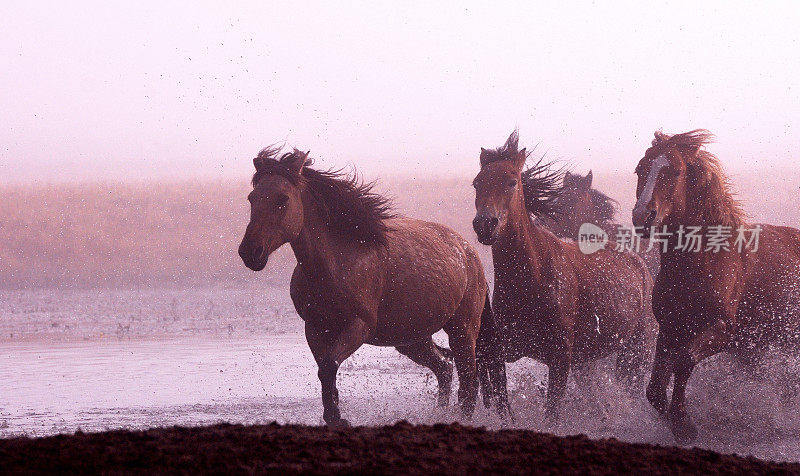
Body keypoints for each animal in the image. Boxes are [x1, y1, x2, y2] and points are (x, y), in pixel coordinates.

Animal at [239, 146, 512, 428]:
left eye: (282, 199)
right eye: (252, 198)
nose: (250, 252)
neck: (334, 264)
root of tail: (470, 254)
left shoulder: (359, 325)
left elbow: (328, 366)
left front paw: (339, 419)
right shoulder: (315, 328)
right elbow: (325, 370)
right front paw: (334, 416)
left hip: (462, 330)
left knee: (468, 384)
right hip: (411, 339)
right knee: (445, 370)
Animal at [472, 130, 652, 420]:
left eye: (512, 182)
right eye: (477, 183)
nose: (485, 225)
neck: (530, 278)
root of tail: (641, 266)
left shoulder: (560, 359)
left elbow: (552, 414)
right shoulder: (502, 352)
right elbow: (500, 400)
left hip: (636, 351)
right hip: (587, 361)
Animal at [632, 129, 800, 442]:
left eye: (674, 171)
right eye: (640, 169)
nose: (642, 217)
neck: (706, 260)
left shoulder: (722, 331)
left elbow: (683, 362)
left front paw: (684, 425)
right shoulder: (671, 327)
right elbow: (655, 390)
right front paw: (673, 419)